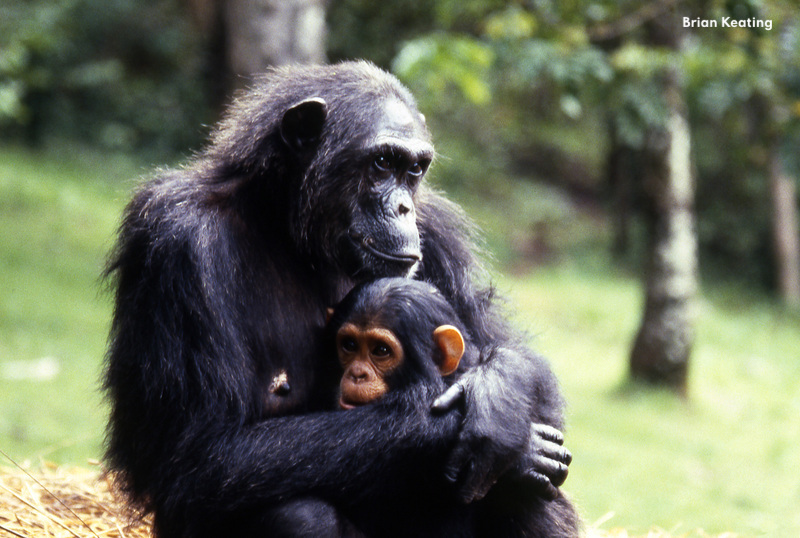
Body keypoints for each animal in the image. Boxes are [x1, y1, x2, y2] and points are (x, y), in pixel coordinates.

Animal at [103, 60, 576, 536]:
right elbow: (204, 456)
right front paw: (487, 435)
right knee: (299, 512)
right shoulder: (178, 239)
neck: (292, 234)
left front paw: (498, 401)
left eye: (414, 170)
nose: (403, 207)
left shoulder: (438, 231)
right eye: (382, 163)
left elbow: (506, 351)